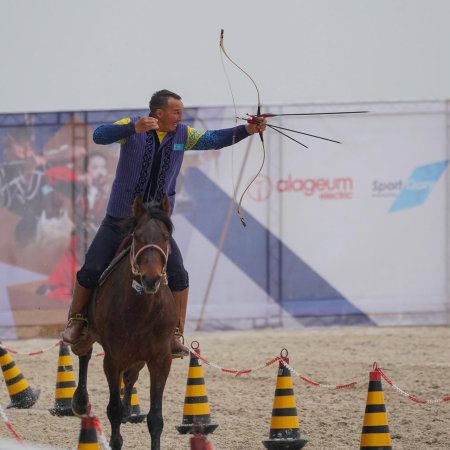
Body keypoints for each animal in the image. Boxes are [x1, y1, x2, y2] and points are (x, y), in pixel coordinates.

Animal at [71, 195, 178, 450]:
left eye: (165, 237)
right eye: (137, 236)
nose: (151, 279)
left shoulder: (161, 359)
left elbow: (155, 418)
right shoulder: (113, 359)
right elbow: (113, 410)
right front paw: (116, 439)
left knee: (131, 376)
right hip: (89, 335)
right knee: (84, 354)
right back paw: (81, 401)